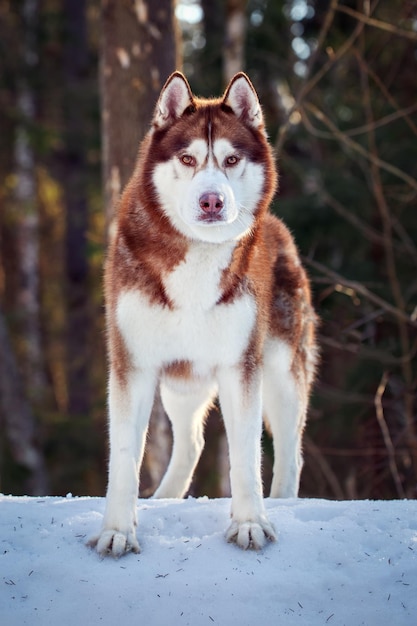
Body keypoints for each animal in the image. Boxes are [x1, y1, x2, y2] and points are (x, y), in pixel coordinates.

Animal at [89, 72, 316, 556]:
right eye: (188, 158)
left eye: (231, 159)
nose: (212, 201)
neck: (196, 258)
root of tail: (280, 230)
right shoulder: (133, 365)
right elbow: (125, 457)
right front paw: (117, 530)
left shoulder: (239, 366)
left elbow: (246, 456)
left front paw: (250, 523)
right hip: (181, 378)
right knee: (191, 440)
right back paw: (164, 497)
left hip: (282, 370)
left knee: (291, 447)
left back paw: (282, 501)